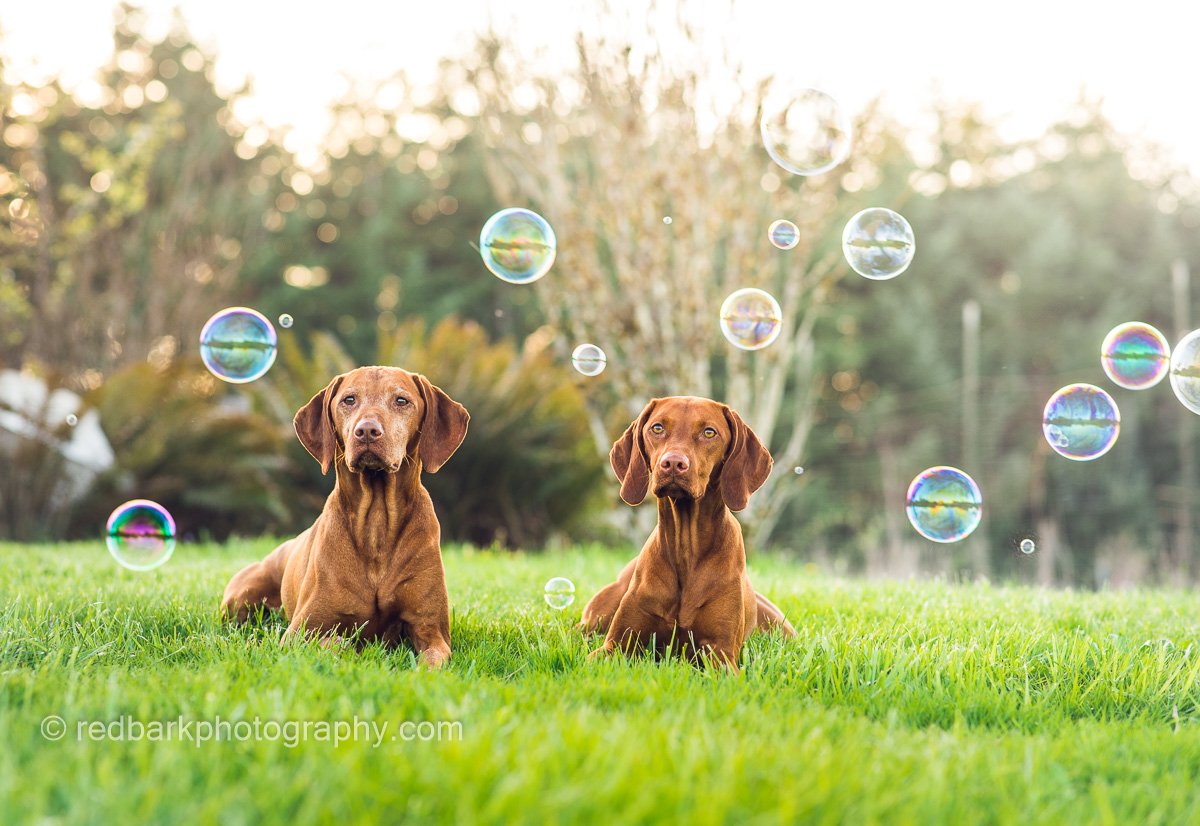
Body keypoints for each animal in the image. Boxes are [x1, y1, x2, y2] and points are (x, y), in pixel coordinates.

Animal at [220, 364, 468, 667]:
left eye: (401, 400)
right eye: (349, 400)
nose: (367, 430)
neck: (376, 522)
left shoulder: (433, 632)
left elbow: (432, 659)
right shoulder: (299, 632)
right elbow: (336, 643)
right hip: (239, 599)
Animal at [583, 396, 796, 672]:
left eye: (709, 432)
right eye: (657, 428)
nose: (673, 463)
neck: (686, 547)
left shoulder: (721, 652)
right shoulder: (615, 646)